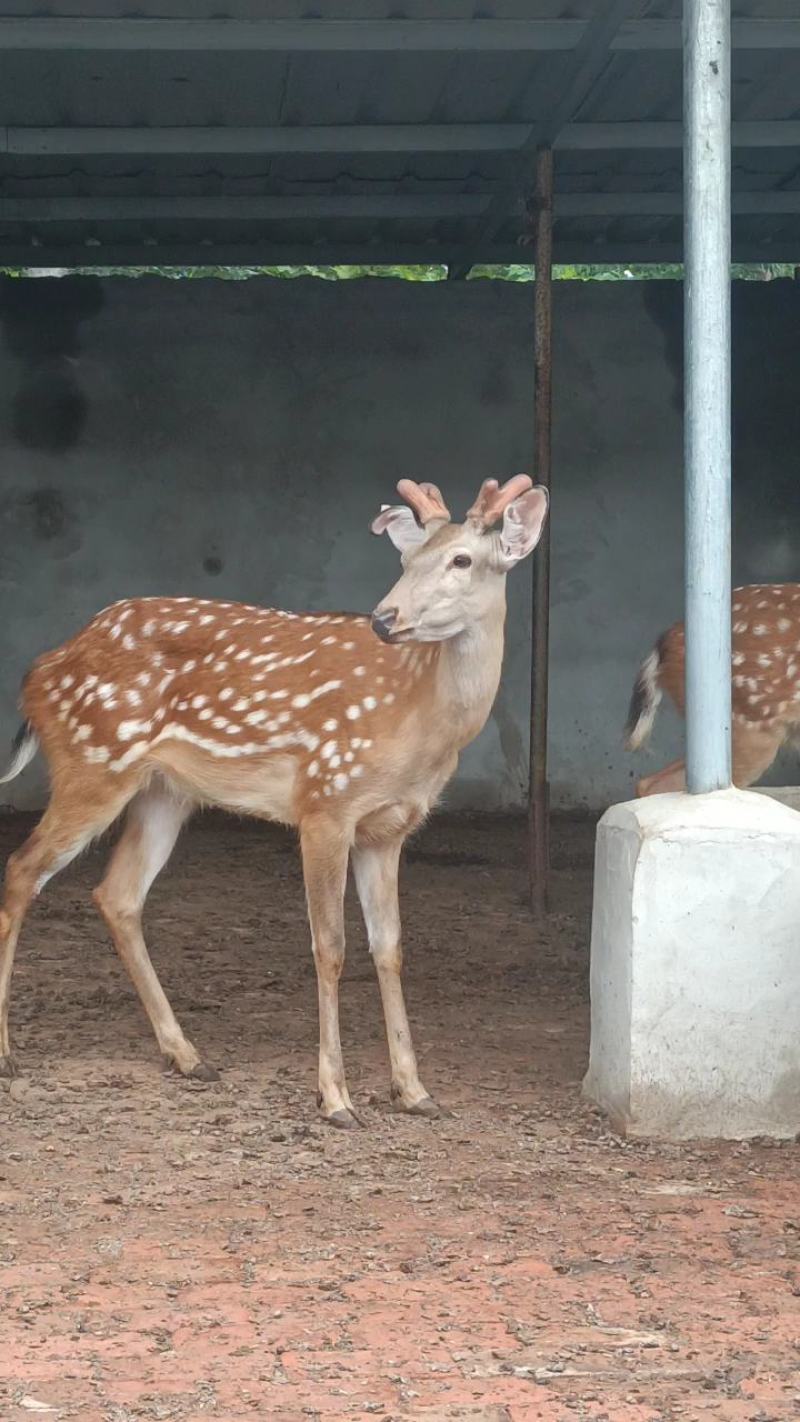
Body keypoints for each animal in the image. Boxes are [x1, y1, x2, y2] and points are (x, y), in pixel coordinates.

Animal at [0, 474, 548, 1127]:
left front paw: (414, 1091)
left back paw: (188, 1055)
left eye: (462, 559)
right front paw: (335, 1098)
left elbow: (389, 948)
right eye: (407, 559)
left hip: (164, 791)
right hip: (92, 764)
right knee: (20, 871)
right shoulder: (325, 800)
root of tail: (39, 672)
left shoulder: (389, 828)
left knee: (117, 895)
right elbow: (330, 946)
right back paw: (7, 1054)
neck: (420, 723)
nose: (384, 619)